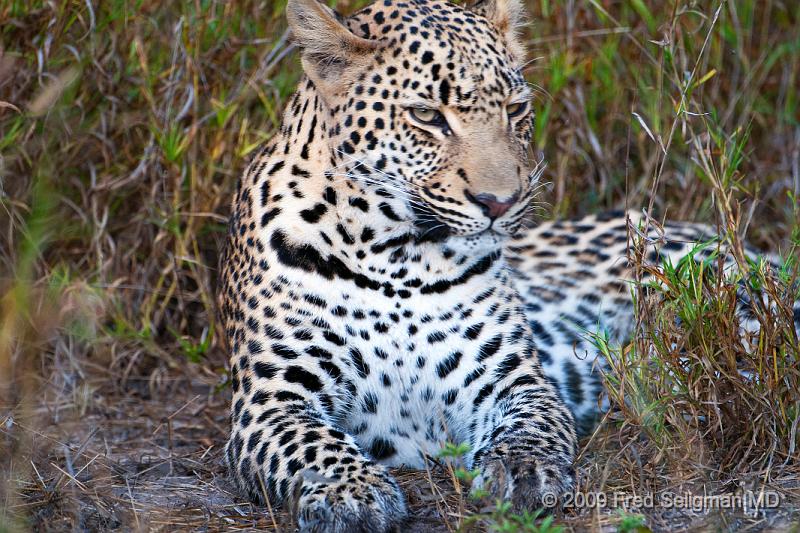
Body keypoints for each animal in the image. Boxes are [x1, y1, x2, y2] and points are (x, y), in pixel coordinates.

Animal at [217, 0, 800, 528]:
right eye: (426, 115)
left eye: (515, 110)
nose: (499, 202)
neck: (394, 254)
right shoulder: (272, 398)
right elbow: (312, 443)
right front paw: (351, 491)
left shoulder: (511, 378)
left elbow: (532, 426)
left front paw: (521, 472)